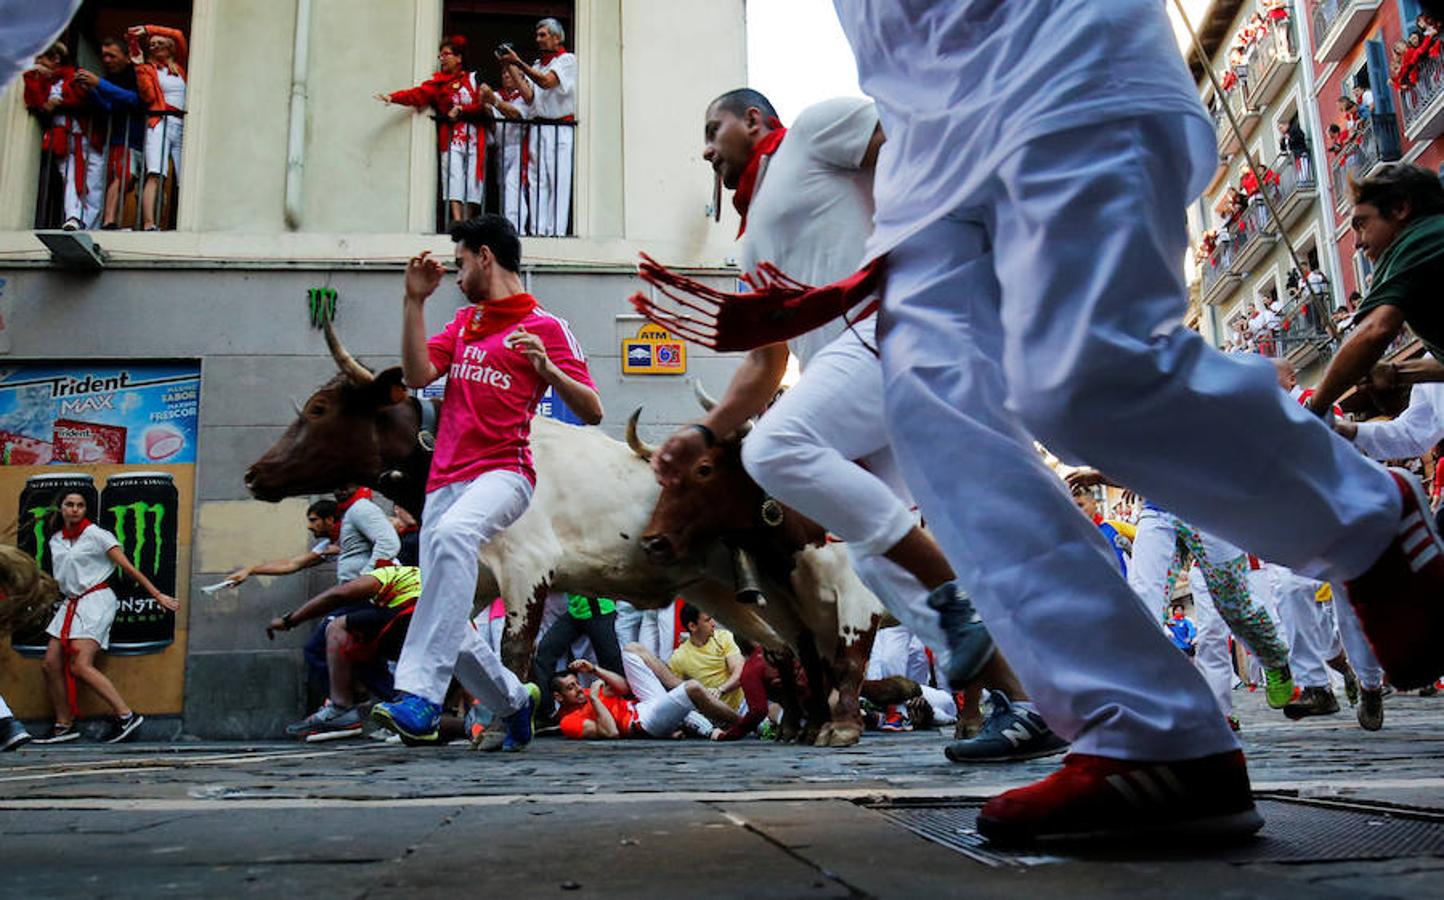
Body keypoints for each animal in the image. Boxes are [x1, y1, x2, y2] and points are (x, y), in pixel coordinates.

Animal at [246, 323, 877, 745]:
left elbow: (515, 649)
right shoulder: (478, 573)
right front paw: (446, 718)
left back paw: (814, 722)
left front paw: (502, 725)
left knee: (795, 649)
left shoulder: (527, 567)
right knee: (778, 649)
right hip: (723, 591)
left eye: (319, 409)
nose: (254, 473)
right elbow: (450, 640)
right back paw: (798, 723)